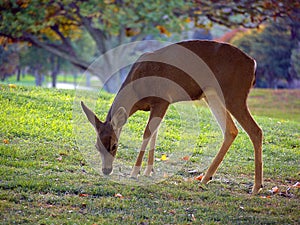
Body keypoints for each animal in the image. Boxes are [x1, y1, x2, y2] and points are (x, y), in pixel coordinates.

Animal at [81, 40, 264, 193]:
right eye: (97, 146)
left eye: (114, 145)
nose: (106, 170)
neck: (136, 90)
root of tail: (253, 63)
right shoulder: (157, 105)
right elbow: (155, 133)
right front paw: (148, 171)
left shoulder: (162, 100)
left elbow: (147, 133)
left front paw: (135, 172)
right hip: (212, 95)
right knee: (231, 130)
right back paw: (205, 178)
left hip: (235, 94)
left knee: (255, 130)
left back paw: (256, 187)